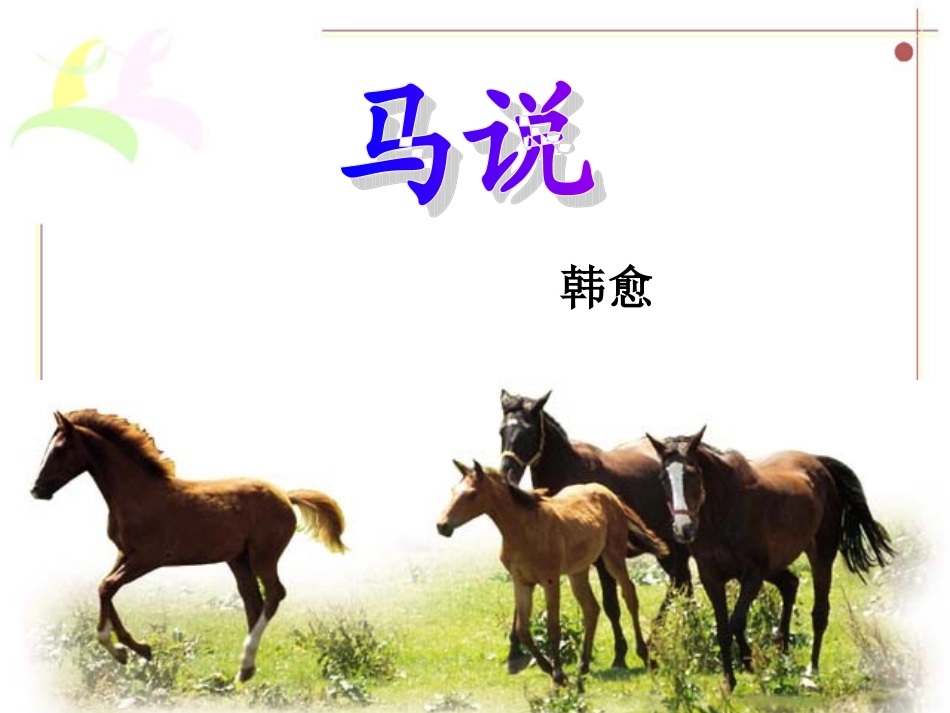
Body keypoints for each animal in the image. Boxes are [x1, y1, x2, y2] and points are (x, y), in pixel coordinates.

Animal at [30, 410, 347, 683]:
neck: (138, 495)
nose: (37, 490)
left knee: (274, 594)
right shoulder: (124, 554)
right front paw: (130, 650)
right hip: (238, 559)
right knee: (253, 600)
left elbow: (107, 587)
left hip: (263, 556)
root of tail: (285, 495)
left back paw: (245, 663)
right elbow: (104, 588)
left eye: (60, 449)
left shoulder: (148, 557)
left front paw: (129, 650)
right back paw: (245, 670)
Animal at [436, 460, 669, 685]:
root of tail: (609, 495)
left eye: (472, 494)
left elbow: (553, 627)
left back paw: (645, 656)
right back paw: (583, 667)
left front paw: (558, 674)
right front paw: (549, 668)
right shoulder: (521, 582)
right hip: (578, 571)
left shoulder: (550, 580)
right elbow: (523, 629)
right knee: (591, 609)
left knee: (629, 595)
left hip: (613, 557)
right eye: (453, 490)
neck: (524, 530)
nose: (442, 526)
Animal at [498, 390, 692, 672]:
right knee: (683, 584)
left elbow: (611, 604)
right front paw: (515, 649)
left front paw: (620, 654)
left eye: (529, 431)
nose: (507, 473)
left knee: (679, 583)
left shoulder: (600, 559)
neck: (570, 471)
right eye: (502, 431)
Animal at [645, 427, 896, 691]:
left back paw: (811, 671)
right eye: (662, 478)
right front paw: (729, 681)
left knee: (819, 613)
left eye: (692, 474)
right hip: (775, 566)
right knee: (790, 584)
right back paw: (782, 650)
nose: (683, 529)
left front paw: (747, 663)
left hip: (821, 556)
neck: (726, 511)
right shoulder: (711, 577)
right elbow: (723, 628)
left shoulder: (753, 574)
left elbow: (736, 621)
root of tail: (819, 463)